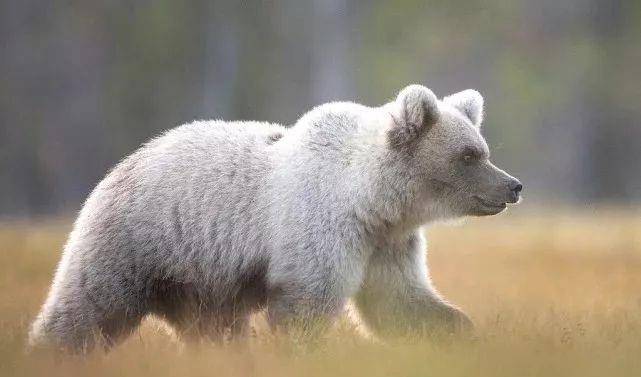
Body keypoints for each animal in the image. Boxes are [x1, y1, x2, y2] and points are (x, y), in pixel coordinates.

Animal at [27, 84, 524, 352]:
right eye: (468, 155)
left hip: (203, 285)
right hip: (139, 241)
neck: (371, 200)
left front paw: (462, 331)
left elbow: (401, 302)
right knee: (89, 309)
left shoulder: (385, 243)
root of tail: (118, 167)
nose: (512, 185)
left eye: (483, 149)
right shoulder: (320, 229)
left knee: (214, 333)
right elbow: (305, 307)